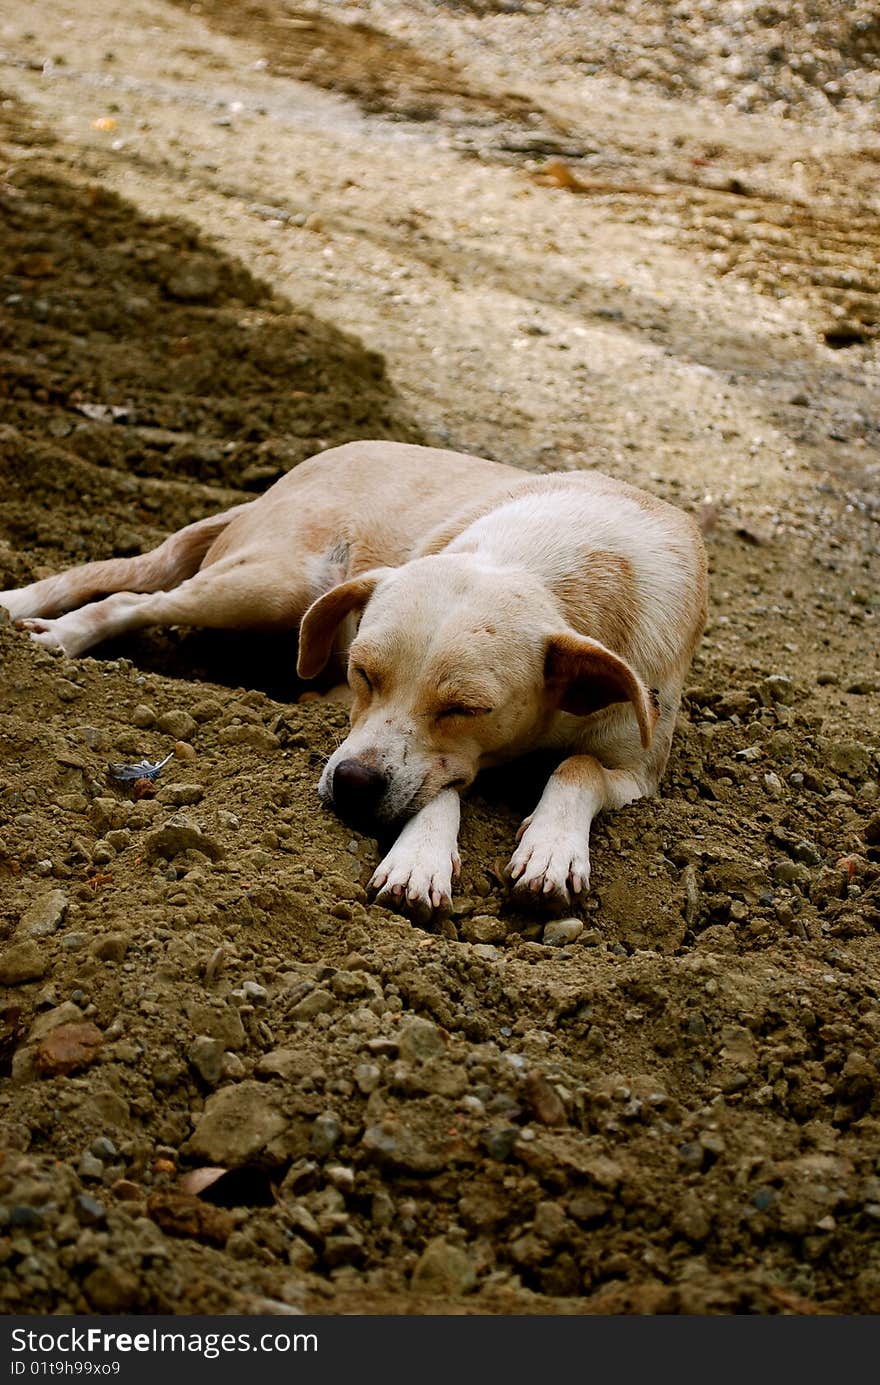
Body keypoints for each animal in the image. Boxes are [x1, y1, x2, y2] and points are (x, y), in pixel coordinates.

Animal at [0, 443, 706, 919]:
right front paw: (420, 860)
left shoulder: (637, 773)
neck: (556, 565)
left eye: (466, 708)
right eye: (364, 672)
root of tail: (289, 476)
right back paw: (55, 633)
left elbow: (577, 765)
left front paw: (553, 847)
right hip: (273, 585)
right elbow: (440, 791)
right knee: (131, 599)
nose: (353, 785)